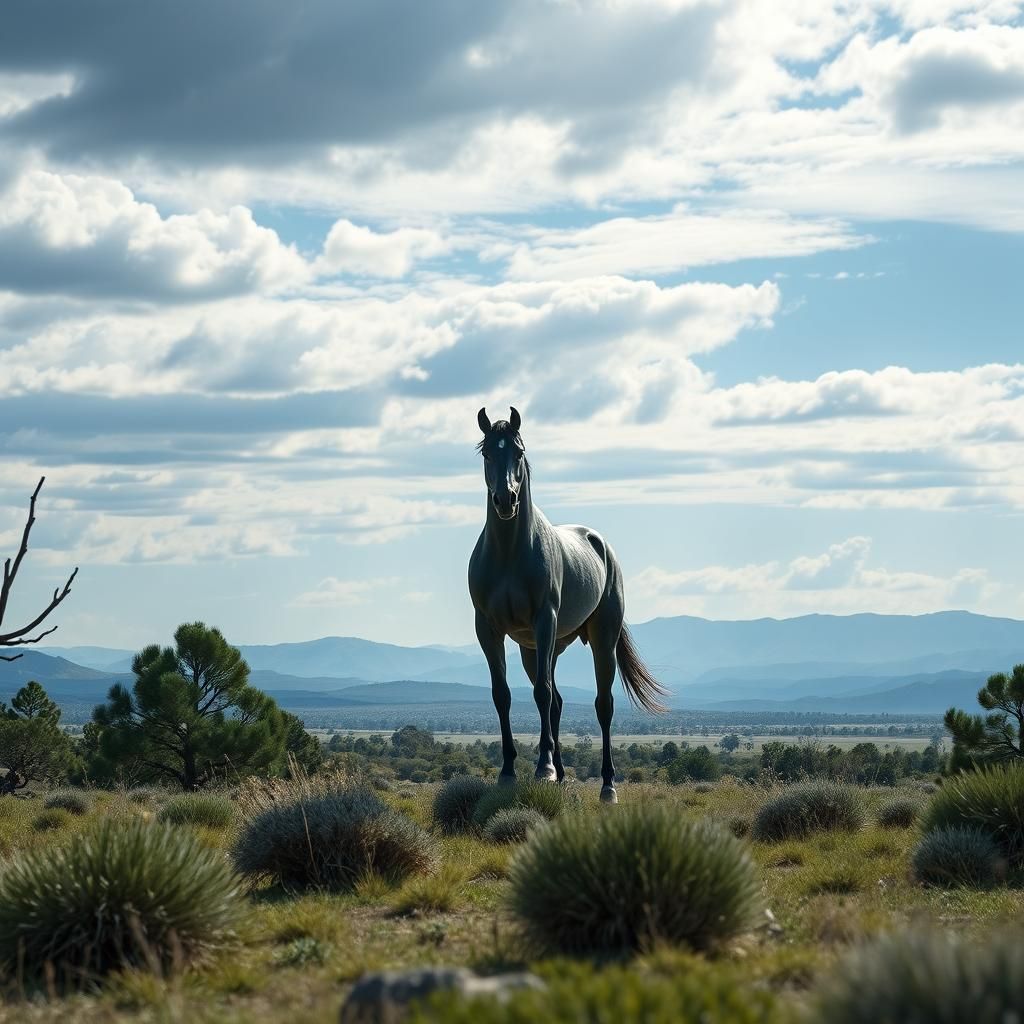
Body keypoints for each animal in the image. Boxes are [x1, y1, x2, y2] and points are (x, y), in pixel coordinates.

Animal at [468, 406, 668, 803]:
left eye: (518, 452)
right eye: (487, 454)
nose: (506, 500)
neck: (509, 553)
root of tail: (600, 543)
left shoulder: (544, 620)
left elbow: (542, 693)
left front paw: (542, 768)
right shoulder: (488, 628)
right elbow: (503, 695)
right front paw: (509, 771)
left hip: (601, 638)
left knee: (602, 705)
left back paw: (606, 786)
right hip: (538, 648)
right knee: (558, 701)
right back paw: (561, 777)